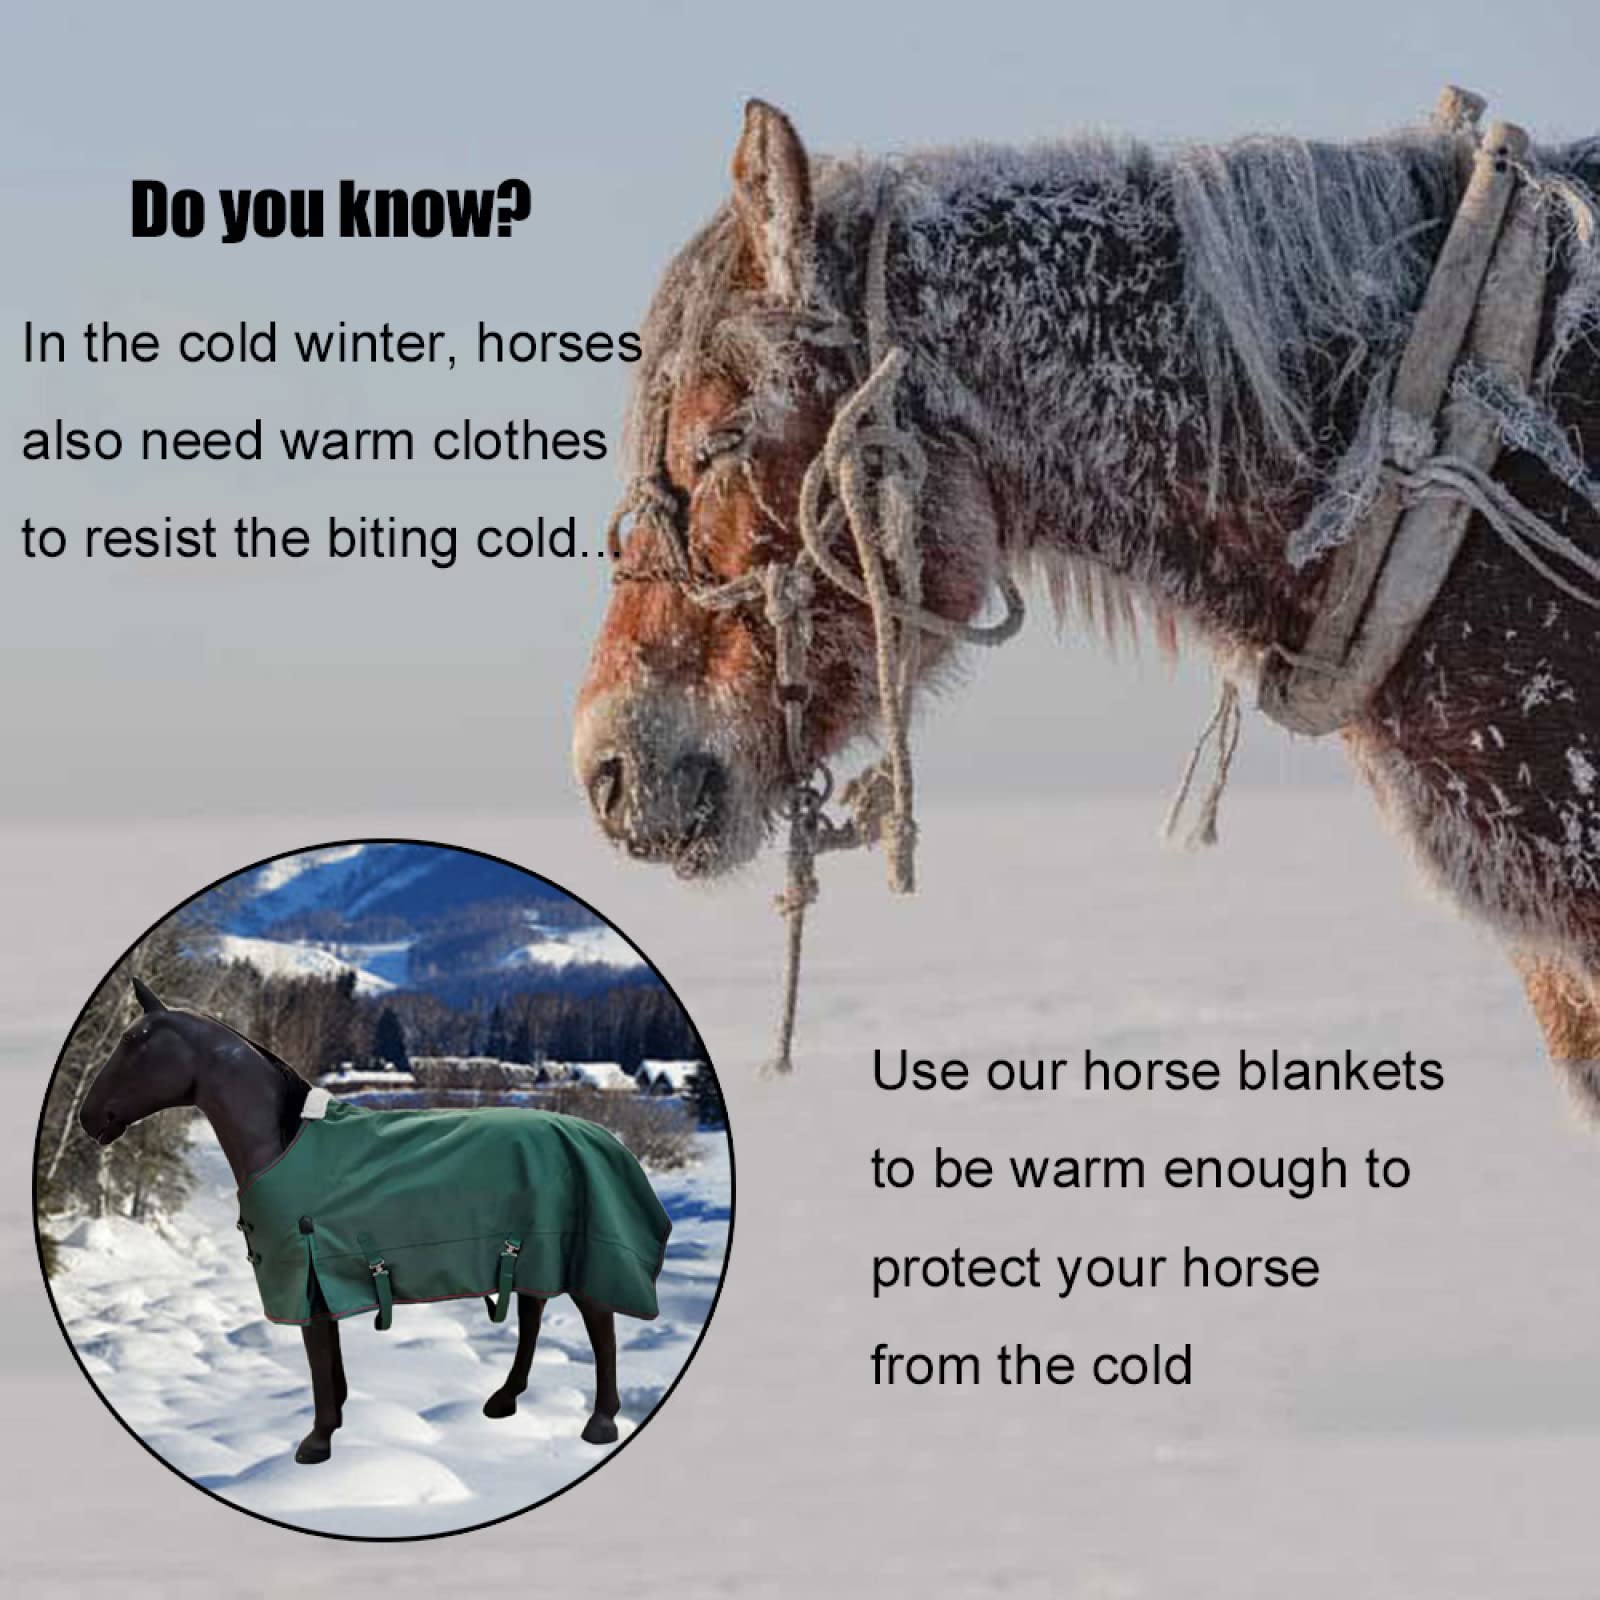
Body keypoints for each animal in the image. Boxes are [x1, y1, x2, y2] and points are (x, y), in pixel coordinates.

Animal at [78, 979, 639, 1465]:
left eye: (134, 1041)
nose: (88, 1117)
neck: (283, 1139)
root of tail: (599, 1135)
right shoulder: (320, 1274)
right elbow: (331, 1361)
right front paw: (337, 1419)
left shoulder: (304, 1274)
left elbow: (318, 1358)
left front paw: (317, 1442)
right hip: (528, 1251)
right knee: (533, 1315)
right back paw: (505, 1399)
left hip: (577, 1252)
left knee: (599, 1322)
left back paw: (601, 1422)